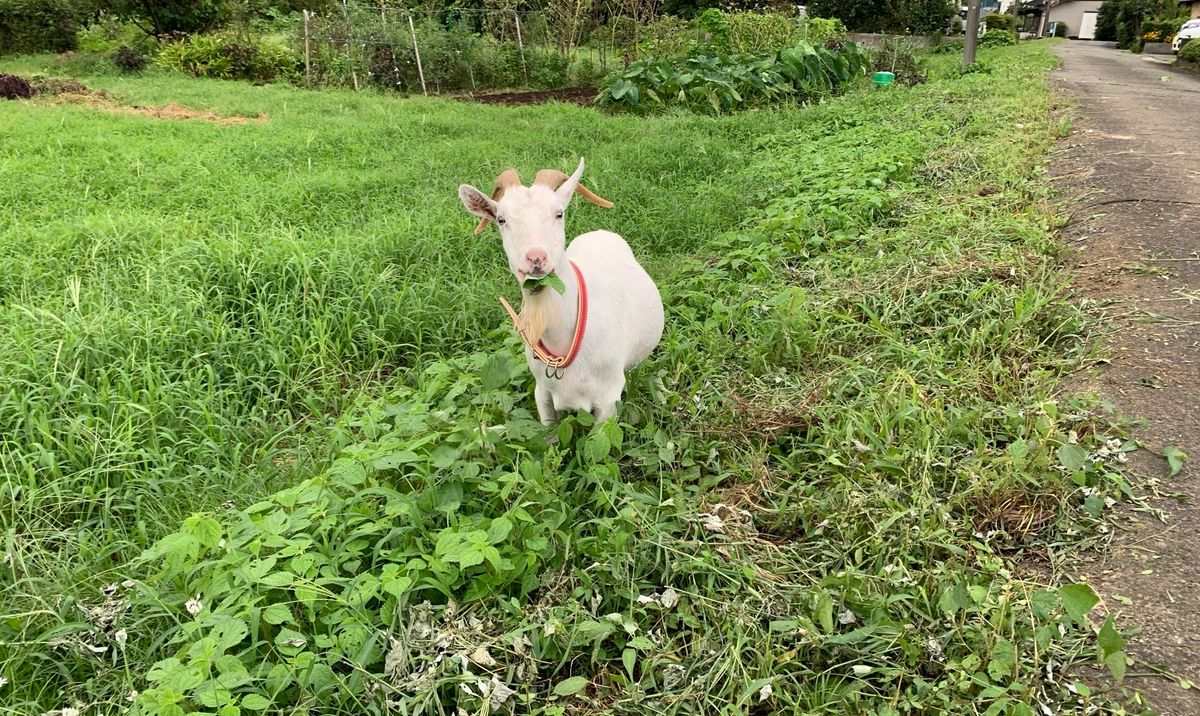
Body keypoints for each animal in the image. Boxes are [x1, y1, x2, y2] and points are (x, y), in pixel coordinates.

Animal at [458, 158, 667, 422]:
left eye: (559, 213)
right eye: (501, 220)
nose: (535, 258)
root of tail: (599, 232)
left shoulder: (608, 401)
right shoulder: (543, 392)